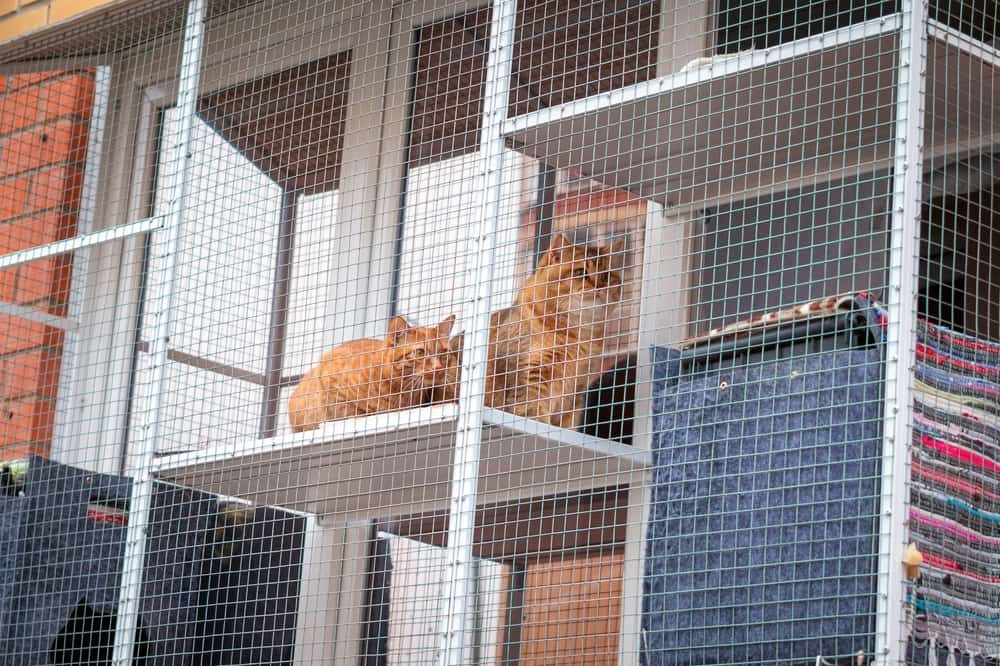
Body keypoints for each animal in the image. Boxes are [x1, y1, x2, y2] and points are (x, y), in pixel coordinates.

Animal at [484, 233, 624, 428]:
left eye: (606, 275)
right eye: (580, 272)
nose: (601, 287)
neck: (576, 333)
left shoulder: (577, 390)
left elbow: (568, 421)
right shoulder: (531, 372)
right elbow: (534, 408)